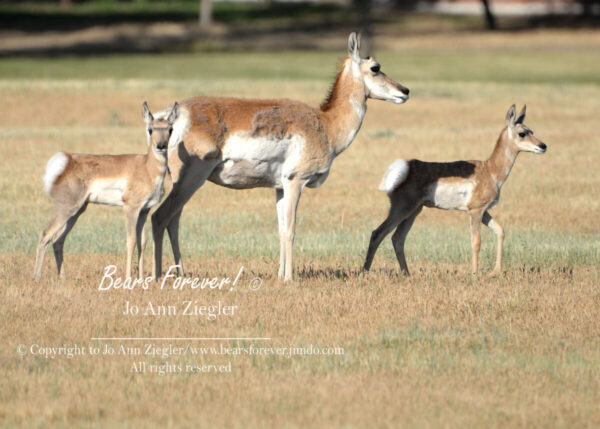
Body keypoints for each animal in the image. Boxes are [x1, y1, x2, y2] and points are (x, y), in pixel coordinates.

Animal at [33, 101, 178, 280]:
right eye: (150, 129)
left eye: (170, 129)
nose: (161, 146)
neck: (146, 166)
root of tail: (67, 161)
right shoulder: (130, 209)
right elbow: (131, 241)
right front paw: (129, 278)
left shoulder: (144, 211)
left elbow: (142, 243)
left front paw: (141, 279)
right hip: (67, 209)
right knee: (45, 234)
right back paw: (37, 278)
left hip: (77, 211)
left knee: (58, 239)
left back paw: (63, 279)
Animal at [152, 32, 410, 280]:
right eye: (375, 67)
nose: (405, 91)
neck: (325, 123)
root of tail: (171, 114)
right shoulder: (295, 182)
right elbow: (291, 230)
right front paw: (289, 279)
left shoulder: (279, 189)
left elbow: (280, 230)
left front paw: (279, 276)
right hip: (190, 180)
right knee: (160, 217)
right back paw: (158, 274)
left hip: (184, 184)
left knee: (173, 221)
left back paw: (181, 273)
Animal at [364, 105, 548, 276]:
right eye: (522, 133)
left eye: (532, 130)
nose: (543, 146)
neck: (490, 170)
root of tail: (407, 166)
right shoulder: (475, 211)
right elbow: (476, 242)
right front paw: (474, 274)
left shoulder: (484, 212)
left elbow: (500, 231)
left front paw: (495, 271)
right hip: (402, 209)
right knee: (378, 233)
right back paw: (365, 272)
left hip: (413, 211)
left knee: (397, 238)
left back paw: (407, 274)